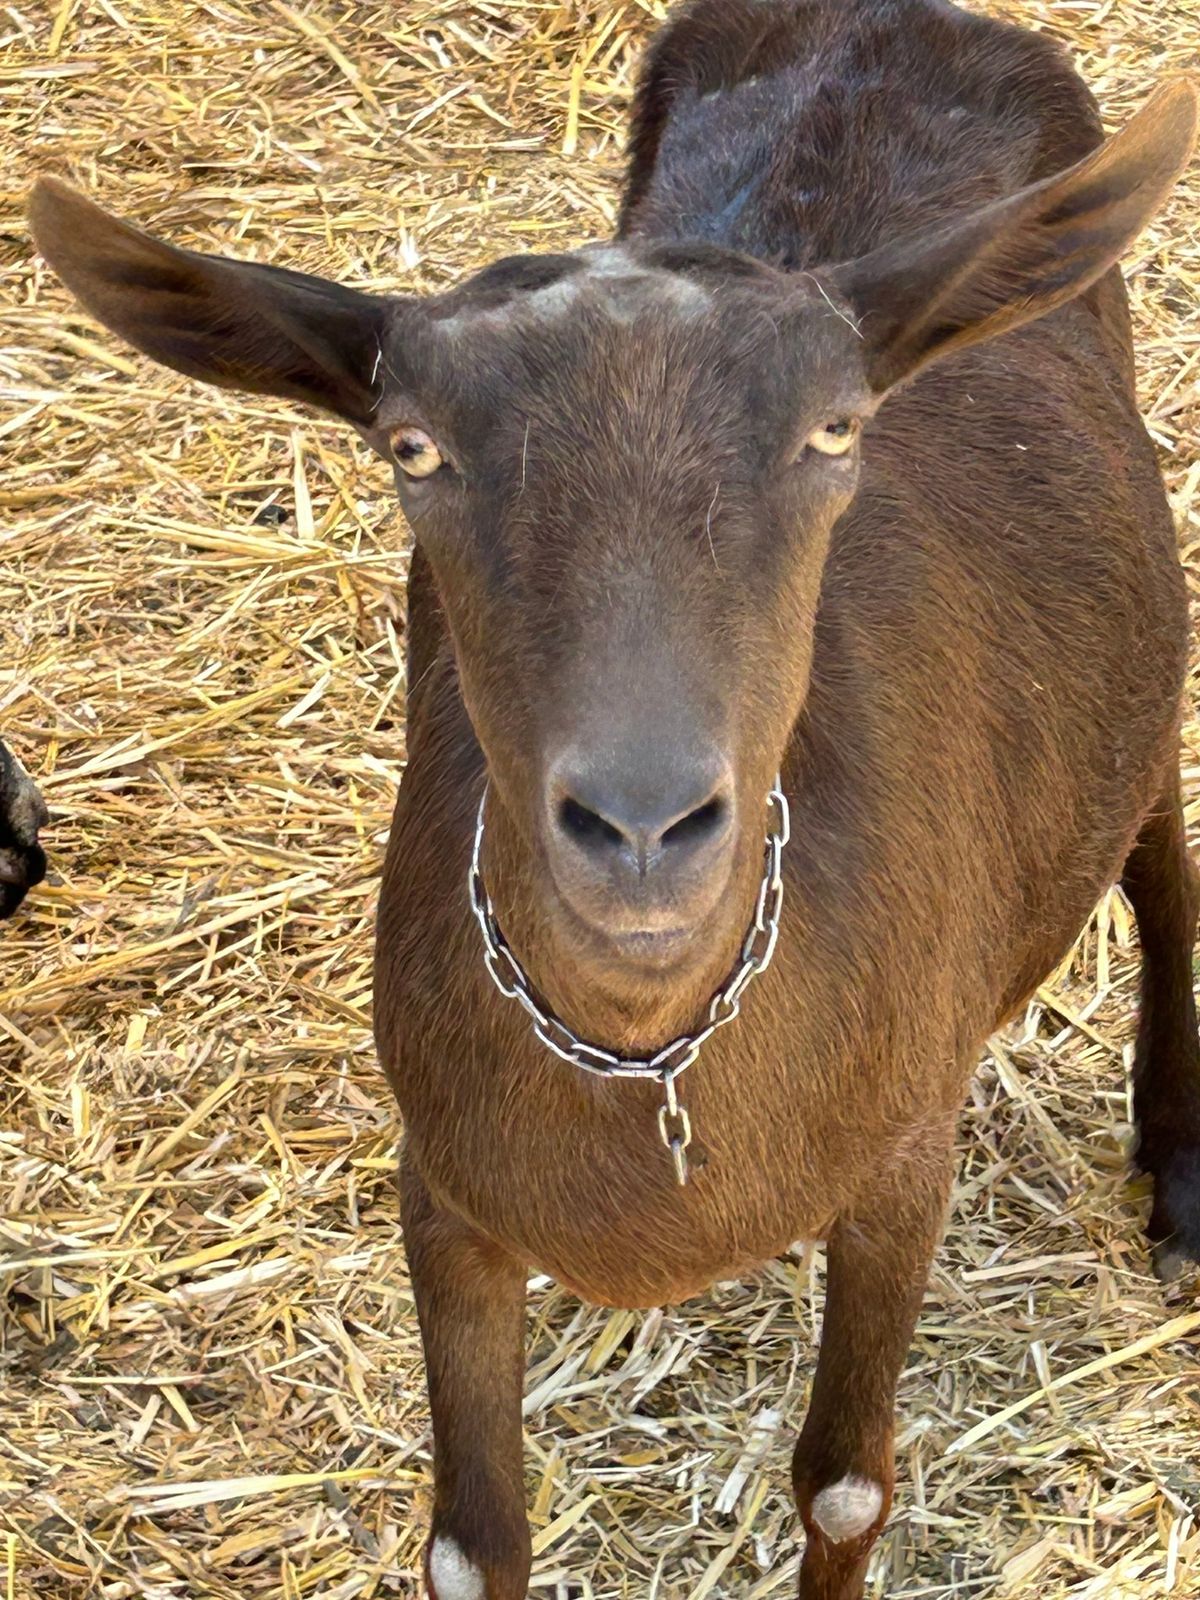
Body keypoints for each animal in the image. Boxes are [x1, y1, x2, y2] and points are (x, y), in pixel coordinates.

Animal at [28, 0, 1200, 1593]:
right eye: (413, 448)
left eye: (836, 429)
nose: (643, 829)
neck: (655, 1055)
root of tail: (891, 18)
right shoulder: (444, 1192)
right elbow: (473, 1543)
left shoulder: (905, 1155)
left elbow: (848, 1489)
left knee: (1159, 847)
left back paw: (1181, 1171)